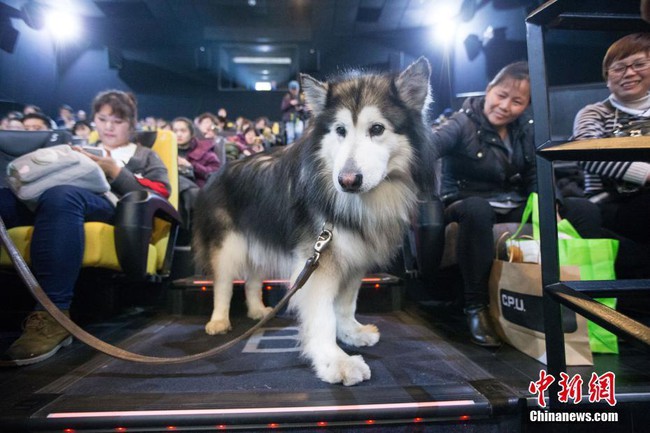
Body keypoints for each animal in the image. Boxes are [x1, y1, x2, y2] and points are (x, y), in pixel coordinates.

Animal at [194, 57, 436, 384]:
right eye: (340, 130)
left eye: (377, 129)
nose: (347, 181)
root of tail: (218, 171)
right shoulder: (318, 262)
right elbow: (323, 317)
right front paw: (335, 361)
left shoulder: (353, 256)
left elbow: (346, 304)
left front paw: (351, 332)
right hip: (227, 245)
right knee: (223, 284)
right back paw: (219, 320)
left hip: (259, 239)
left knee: (253, 279)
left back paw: (258, 311)